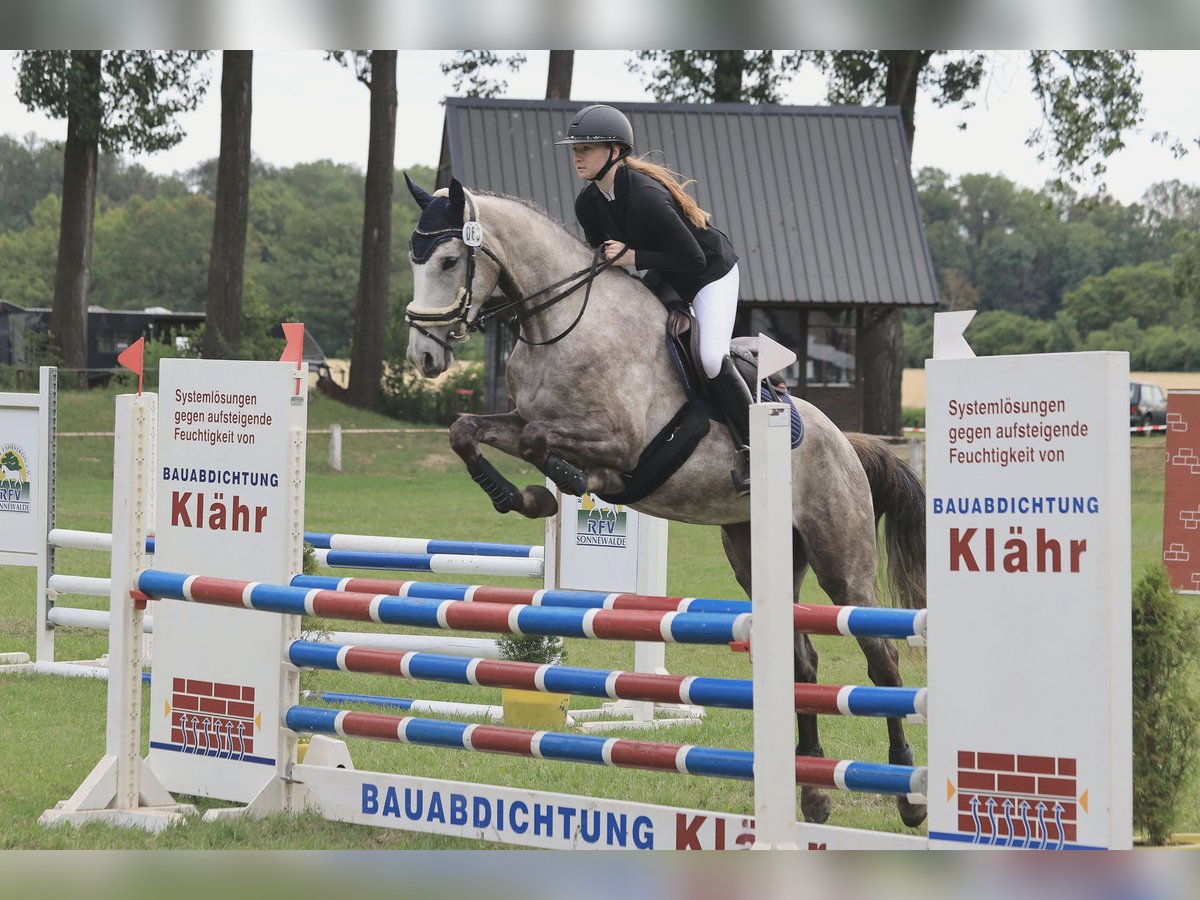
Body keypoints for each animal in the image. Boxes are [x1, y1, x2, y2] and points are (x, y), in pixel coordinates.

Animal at [403, 176, 926, 830]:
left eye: (449, 261)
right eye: (414, 259)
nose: (423, 357)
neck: (561, 322)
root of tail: (848, 444)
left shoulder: (619, 440)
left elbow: (540, 442)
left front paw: (559, 483)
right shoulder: (519, 416)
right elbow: (467, 430)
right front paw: (520, 495)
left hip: (842, 560)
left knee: (882, 659)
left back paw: (908, 795)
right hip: (758, 554)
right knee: (801, 662)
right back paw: (812, 792)